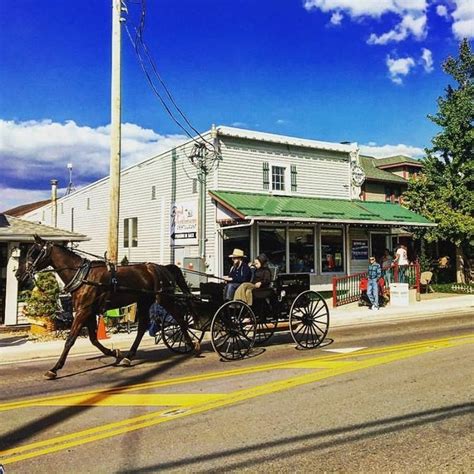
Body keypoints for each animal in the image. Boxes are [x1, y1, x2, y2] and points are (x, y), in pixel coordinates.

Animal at [15, 235, 195, 380]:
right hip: (144, 301)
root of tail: (163, 268)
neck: (83, 276)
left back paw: (192, 345)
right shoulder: (88, 311)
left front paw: (54, 369)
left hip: (164, 298)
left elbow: (70, 340)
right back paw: (128, 357)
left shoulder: (84, 311)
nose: (18, 275)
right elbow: (94, 340)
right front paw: (115, 353)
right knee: (143, 326)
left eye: (34, 252)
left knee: (179, 318)